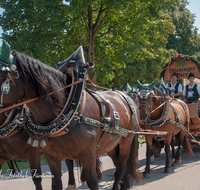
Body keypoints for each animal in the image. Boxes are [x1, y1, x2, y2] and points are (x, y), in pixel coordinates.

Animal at [0, 43, 141, 190]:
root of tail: (126, 96)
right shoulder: (51, 157)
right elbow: (56, 183)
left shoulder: (86, 155)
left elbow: (92, 182)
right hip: (110, 144)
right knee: (117, 162)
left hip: (126, 140)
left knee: (121, 166)